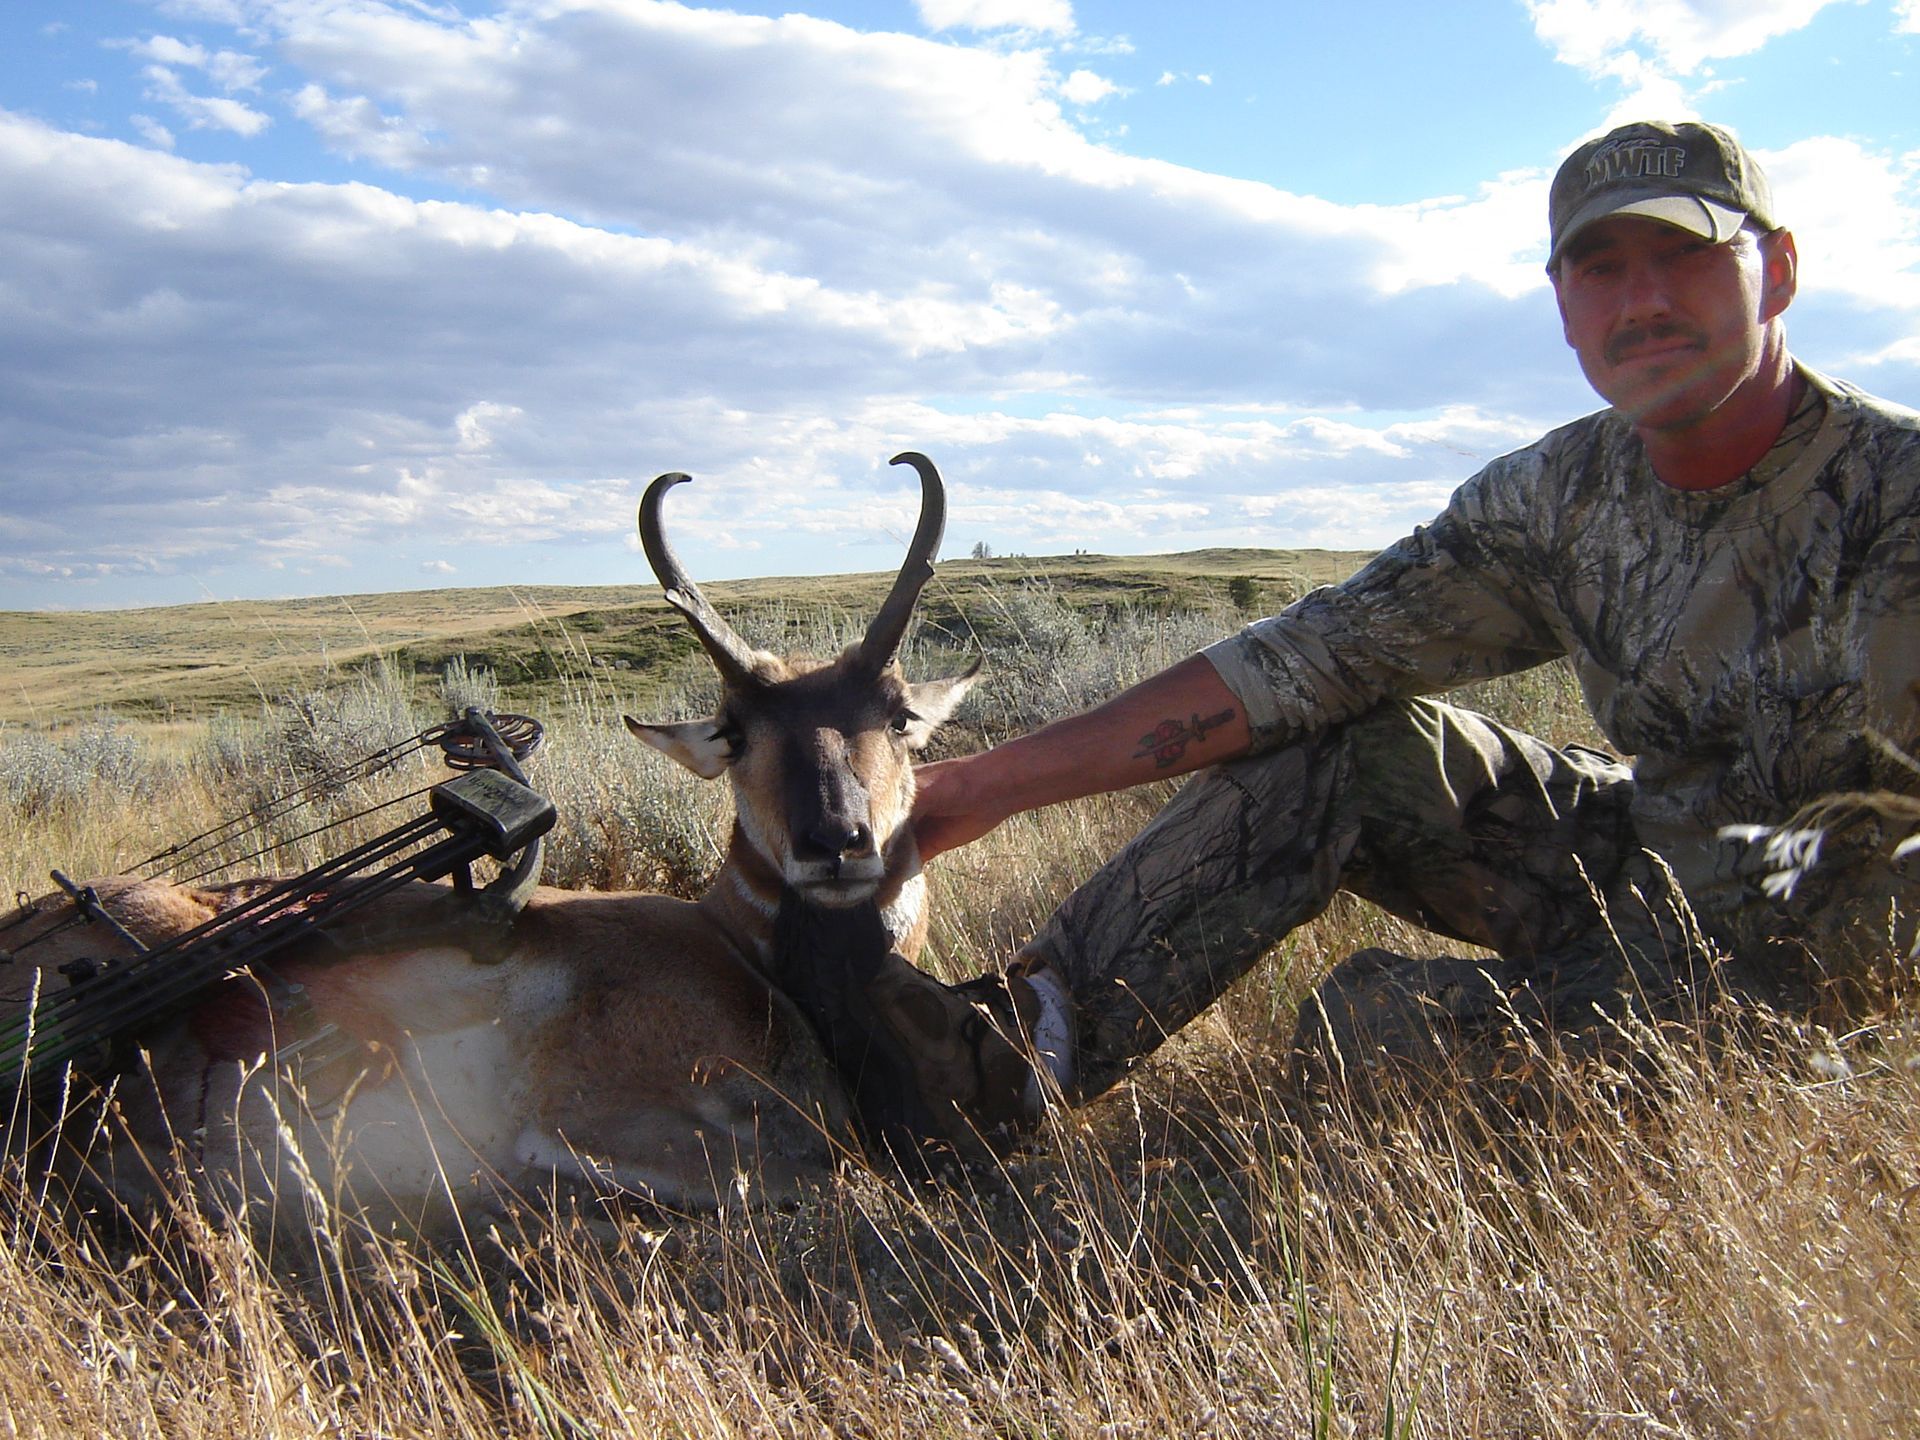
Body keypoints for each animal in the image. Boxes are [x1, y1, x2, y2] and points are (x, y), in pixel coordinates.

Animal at [1, 453, 979, 1228]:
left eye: (898, 715)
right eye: (736, 732)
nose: (836, 841)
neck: (737, 960)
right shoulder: (592, 1110)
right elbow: (803, 1176)